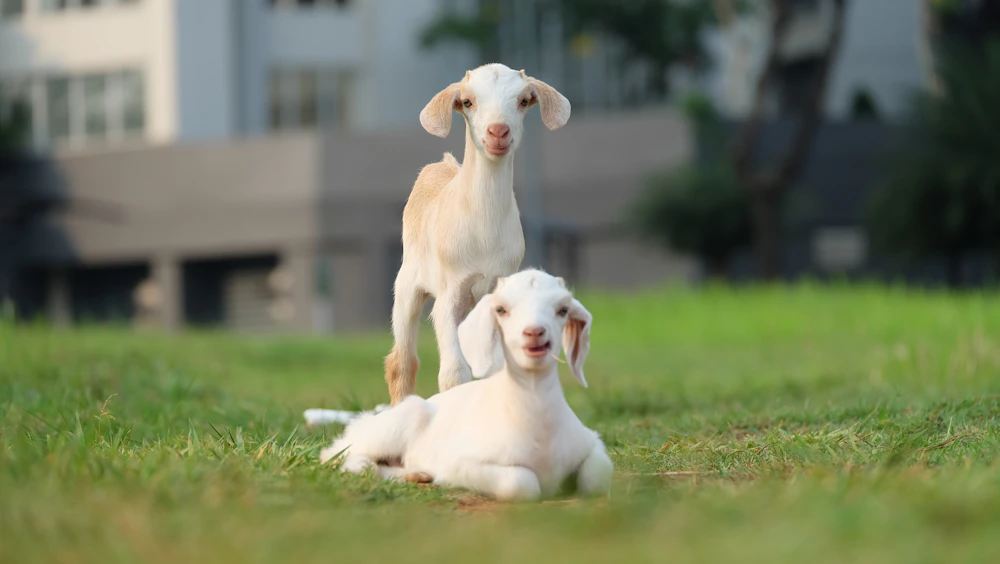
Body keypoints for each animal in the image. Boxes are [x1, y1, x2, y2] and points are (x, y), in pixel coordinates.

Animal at [322, 269, 613, 502]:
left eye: (563, 310)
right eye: (501, 309)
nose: (534, 333)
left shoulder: (590, 442)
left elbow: (598, 475)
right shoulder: (463, 461)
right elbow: (521, 483)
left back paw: (417, 475)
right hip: (390, 427)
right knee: (337, 454)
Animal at [384, 63, 572, 406]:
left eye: (523, 101)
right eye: (468, 102)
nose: (498, 132)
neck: (484, 232)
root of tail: (442, 164)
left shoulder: (496, 293)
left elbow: (496, 370)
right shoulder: (450, 292)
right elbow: (453, 374)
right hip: (407, 285)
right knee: (402, 361)